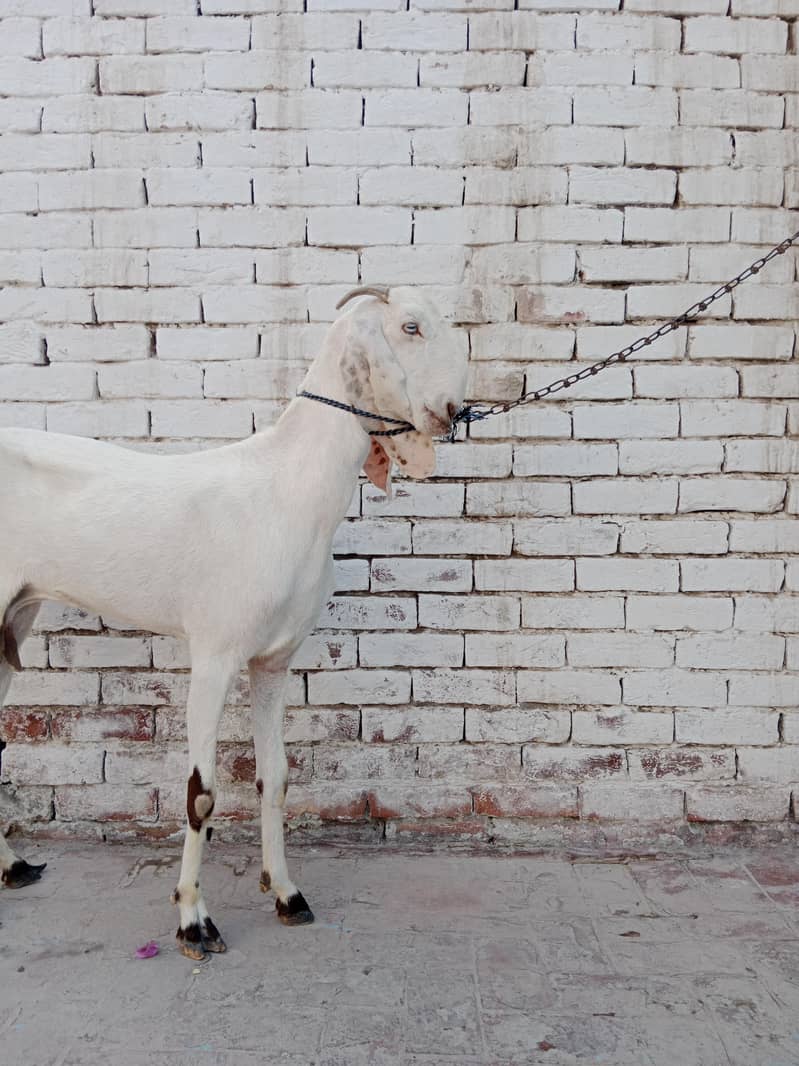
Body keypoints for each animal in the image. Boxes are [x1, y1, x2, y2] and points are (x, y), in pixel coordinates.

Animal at [0, 286, 468, 960]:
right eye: (410, 327)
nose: (453, 411)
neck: (285, 491)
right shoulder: (215, 655)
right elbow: (201, 794)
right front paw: (194, 920)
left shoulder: (273, 661)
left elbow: (275, 778)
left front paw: (287, 894)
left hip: (17, 612)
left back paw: (13, 867)